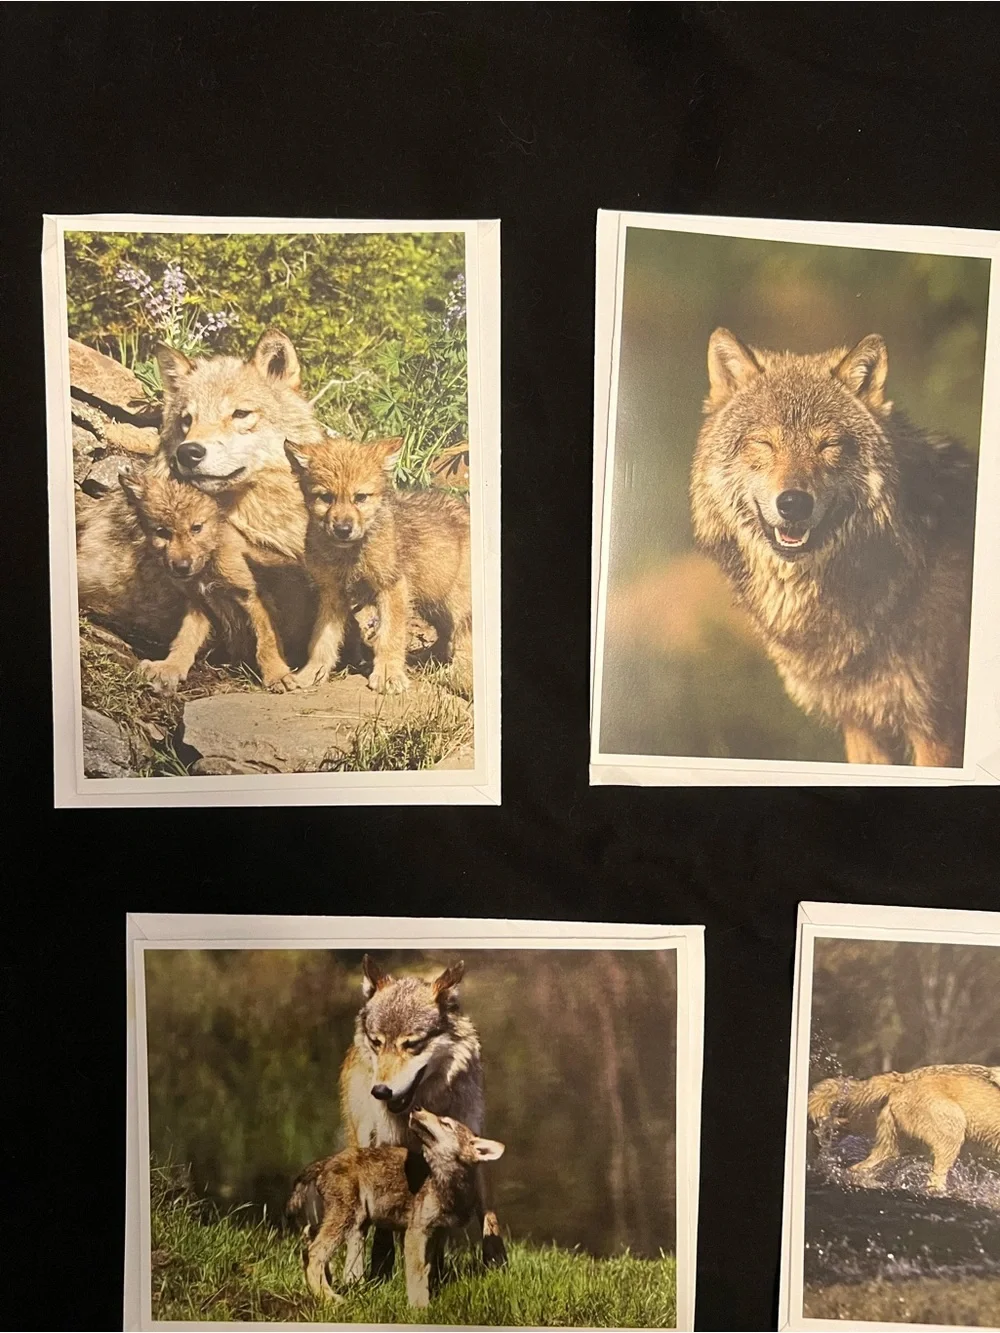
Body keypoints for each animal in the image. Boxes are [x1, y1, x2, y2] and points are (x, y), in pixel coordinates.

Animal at [284, 435, 472, 694]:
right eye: (326, 497)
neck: (350, 555)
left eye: (360, 497)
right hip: (433, 601)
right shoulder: (332, 593)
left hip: (456, 604)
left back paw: (456, 676)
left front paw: (387, 675)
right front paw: (312, 673)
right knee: (446, 636)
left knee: (464, 639)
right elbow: (321, 641)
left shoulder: (391, 588)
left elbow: (390, 637)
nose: (343, 529)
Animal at [287, 1107, 504, 1307]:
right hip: (346, 1218)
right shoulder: (415, 1232)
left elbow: (428, 1270)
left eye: (446, 1123)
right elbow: (417, 1274)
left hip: (354, 1221)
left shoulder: (436, 1233)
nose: (417, 1108)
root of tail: (326, 1162)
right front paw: (419, 1310)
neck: (446, 1183)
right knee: (314, 1253)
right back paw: (330, 1298)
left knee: (310, 1244)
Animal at [339, 955, 507, 1280]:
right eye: (377, 1043)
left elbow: (488, 1212)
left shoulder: (472, 1138)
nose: (380, 1091)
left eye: (411, 1044)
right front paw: (374, 1268)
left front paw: (496, 1262)